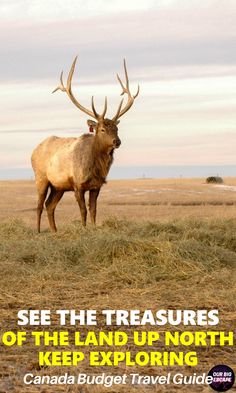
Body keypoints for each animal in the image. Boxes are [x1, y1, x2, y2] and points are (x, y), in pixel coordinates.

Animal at [30, 56, 138, 231]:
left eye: (116, 128)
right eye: (102, 129)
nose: (117, 141)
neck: (94, 168)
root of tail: (33, 151)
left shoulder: (96, 186)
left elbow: (93, 210)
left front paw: (93, 228)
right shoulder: (78, 184)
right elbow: (83, 211)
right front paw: (84, 229)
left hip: (58, 186)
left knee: (49, 205)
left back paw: (55, 231)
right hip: (41, 177)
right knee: (39, 205)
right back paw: (39, 232)